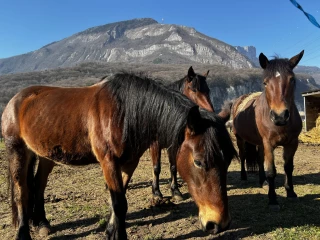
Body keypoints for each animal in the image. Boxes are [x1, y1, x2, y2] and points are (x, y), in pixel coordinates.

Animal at [150, 66, 215, 201]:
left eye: (208, 90)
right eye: (193, 89)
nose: (211, 112)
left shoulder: (173, 145)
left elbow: (173, 167)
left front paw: (175, 191)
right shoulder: (155, 145)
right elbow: (156, 168)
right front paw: (156, 192)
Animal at [231, 50, 304, 208]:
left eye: (292, 80)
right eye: (265, 83)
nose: (280, 116)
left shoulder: (292, 143)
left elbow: (288, 167)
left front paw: (291, 192)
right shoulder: (269, 144)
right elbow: (271, 171)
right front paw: (272, 199)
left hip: (260, 142)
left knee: (259, 159)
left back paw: (262, 181)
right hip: (240, 139)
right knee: (243, 155)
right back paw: (244, 176)